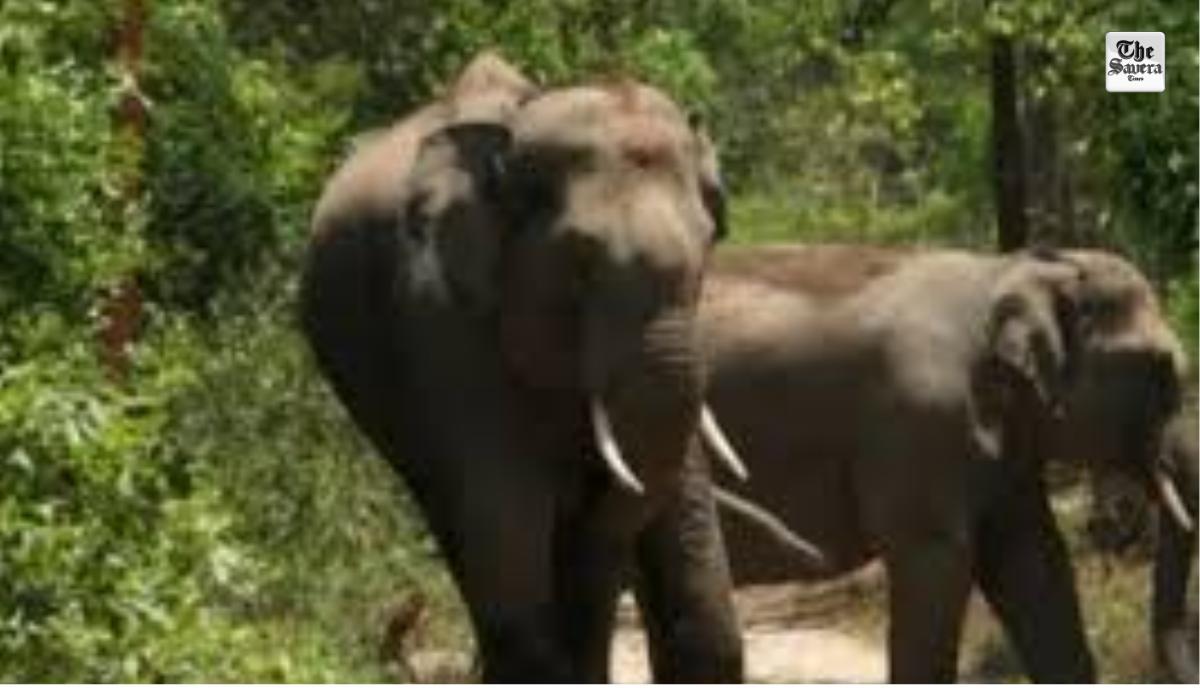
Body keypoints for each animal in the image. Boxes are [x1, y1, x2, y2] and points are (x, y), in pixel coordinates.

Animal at [695, 243, 1191, 682]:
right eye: (1161, 369)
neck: (1012, 268)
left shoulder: (1007, 440)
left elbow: (1034, 561)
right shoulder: (920, 421)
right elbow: (937, 561)